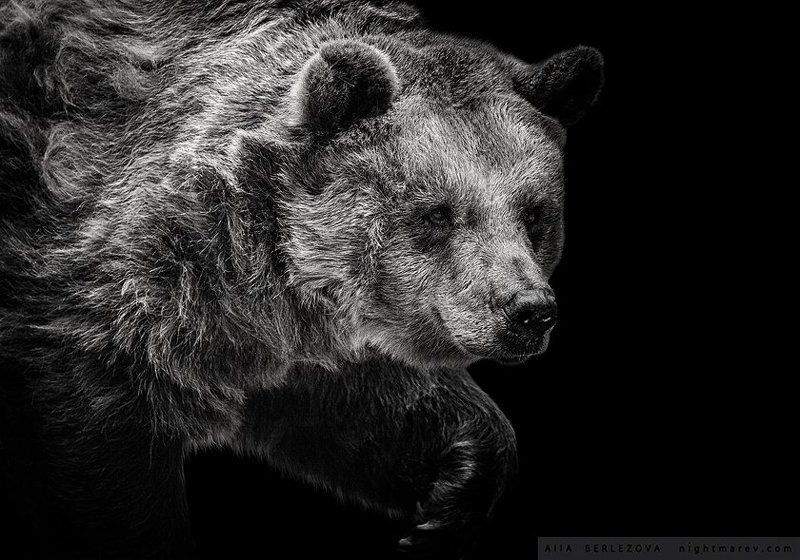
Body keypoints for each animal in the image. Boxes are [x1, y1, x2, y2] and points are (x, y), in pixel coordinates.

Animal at [0, 0, 603, 558]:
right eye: (437, 212)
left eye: (534, 212)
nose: (527, 310)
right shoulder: (111, 292)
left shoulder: (279, 341)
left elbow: (353, 407)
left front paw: (452, 498)